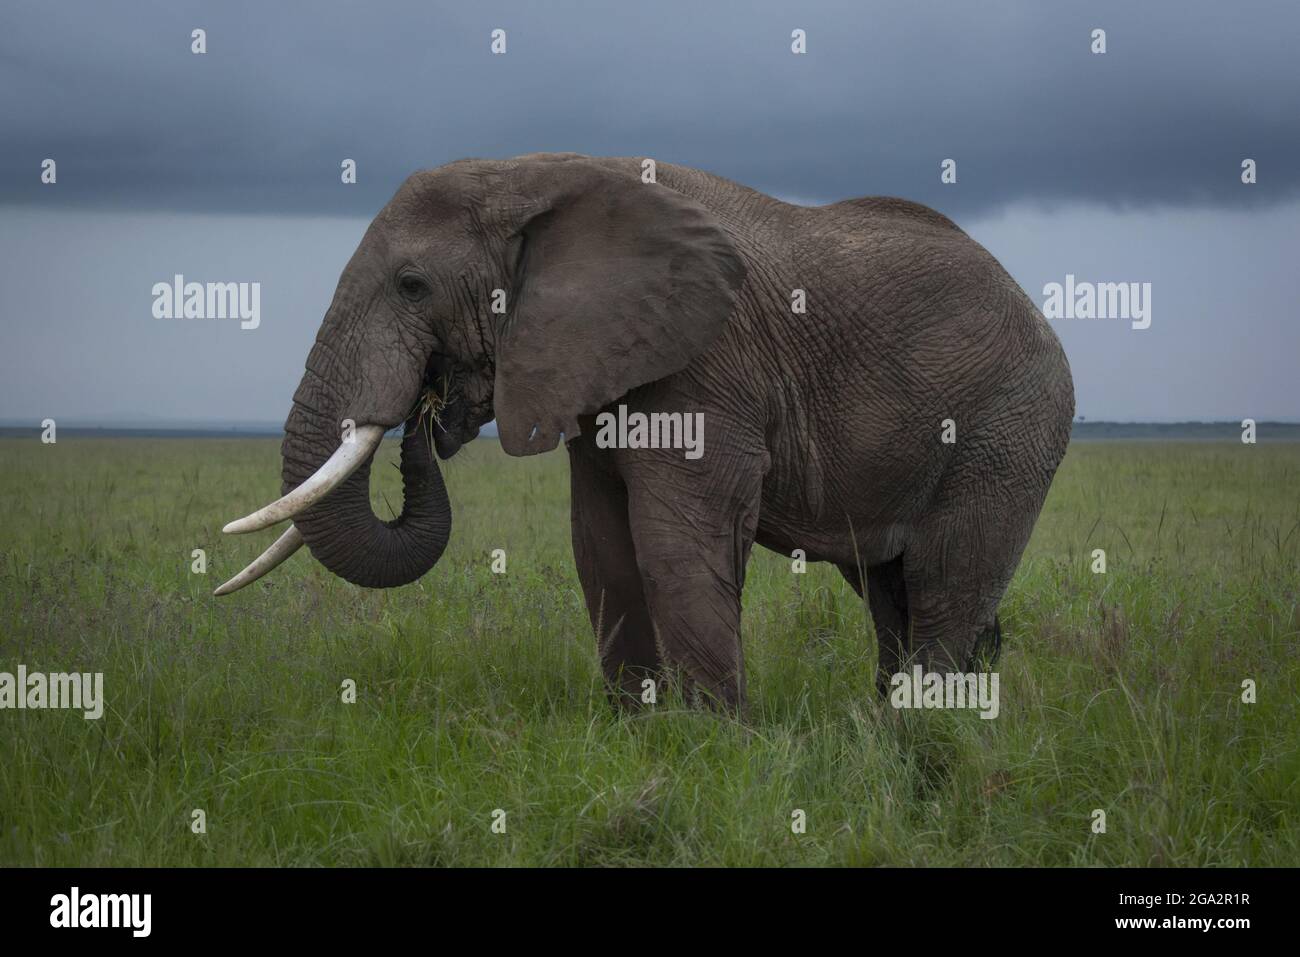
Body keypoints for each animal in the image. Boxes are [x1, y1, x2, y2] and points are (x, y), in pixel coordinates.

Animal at [217, 152, 1075, 712]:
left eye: (411, 285)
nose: (428, 413)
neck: (534, 176)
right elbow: (599, 541)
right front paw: (640, 730)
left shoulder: (708, 361)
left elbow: (674, 542)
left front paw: (715, 745)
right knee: (892, 590)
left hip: (1009, 428)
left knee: (943, 585)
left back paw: (921, 737)